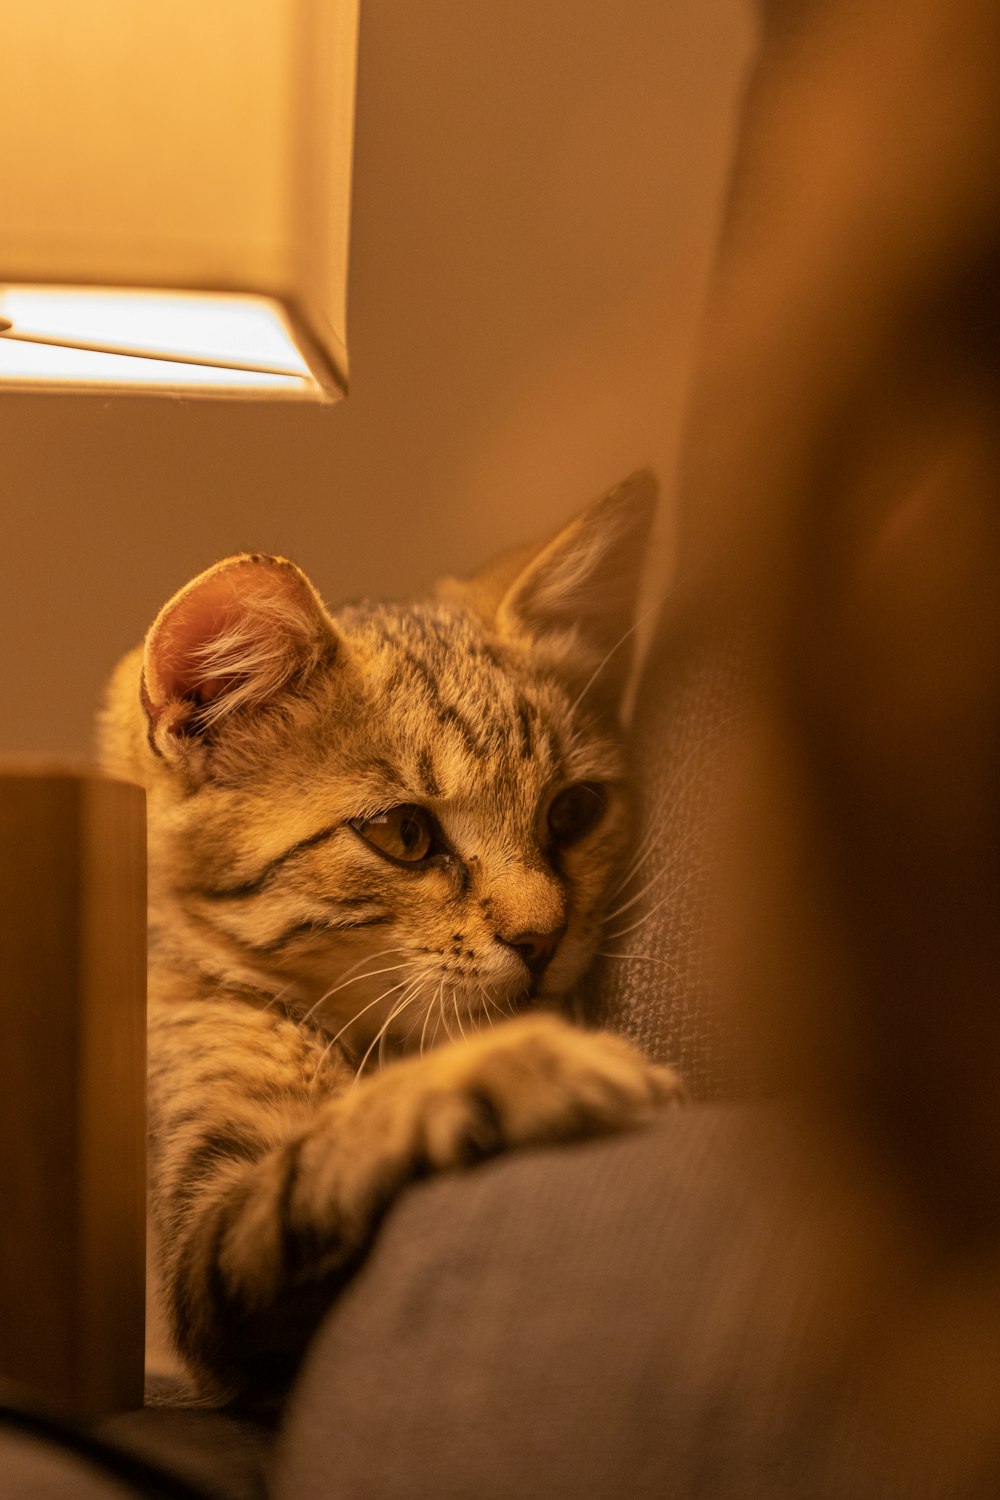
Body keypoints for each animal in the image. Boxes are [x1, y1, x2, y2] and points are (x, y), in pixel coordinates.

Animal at [99, 477, 680, 1404]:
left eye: (574, 811)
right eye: (404, 834)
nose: (543, 935)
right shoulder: (207, 1258)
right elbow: (323, 1155)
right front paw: (515, 1067)